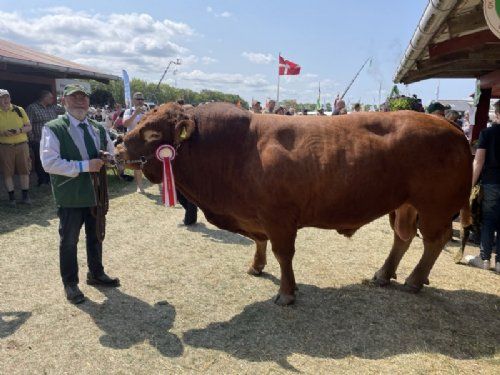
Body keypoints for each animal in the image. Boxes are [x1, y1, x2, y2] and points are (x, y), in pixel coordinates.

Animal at [115, 102, 470, 306]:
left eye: (151, 133)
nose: (116, 148)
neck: (237, 148)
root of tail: (449, 125)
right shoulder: (256, 215)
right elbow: (259, 242)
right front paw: (256, 267)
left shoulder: (279, 217)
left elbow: (283, 253)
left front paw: (286, 293)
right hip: (405, 205)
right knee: (403, 237)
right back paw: (384, 274)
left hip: (435, 206)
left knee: (434, 241)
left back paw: (414, 281)